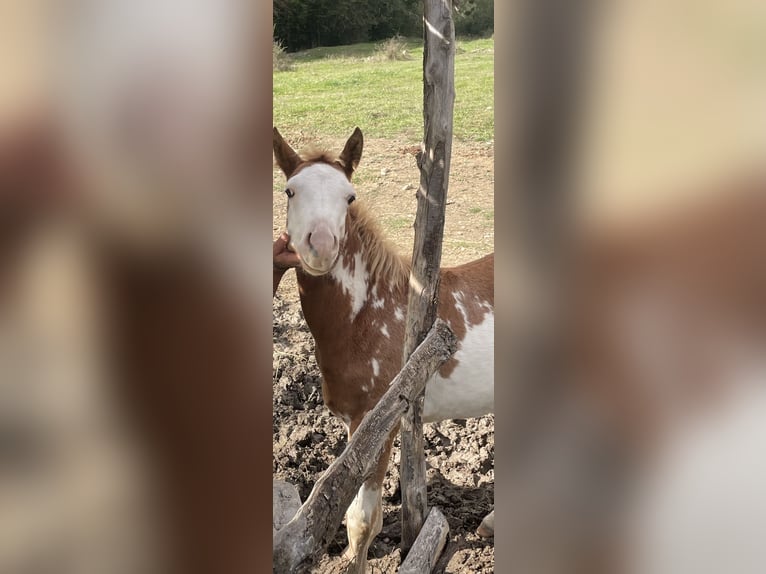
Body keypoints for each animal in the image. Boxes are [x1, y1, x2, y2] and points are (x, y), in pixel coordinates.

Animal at [272, 127, 495, 572]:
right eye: (290, 191)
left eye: (349, 196)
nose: (321, 245)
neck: (365, 314)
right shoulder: (352, 423)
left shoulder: (380, 421)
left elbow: (361, 521)